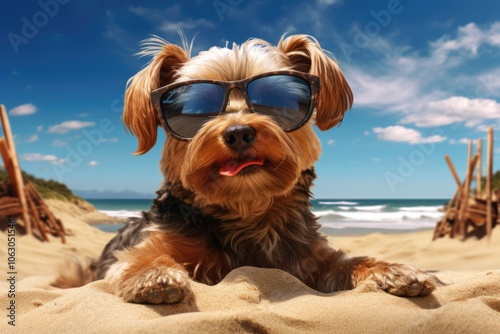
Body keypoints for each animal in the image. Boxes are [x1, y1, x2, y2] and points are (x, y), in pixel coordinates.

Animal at [53, 34, 438, 306]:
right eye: (195, 108)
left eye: (276, 100)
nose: (238, 132)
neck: (246, 206)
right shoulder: (147, 245)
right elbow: (140, 259)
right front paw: (154, 275)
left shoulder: (310, 257)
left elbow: (349, 260)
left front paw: (394, 269)